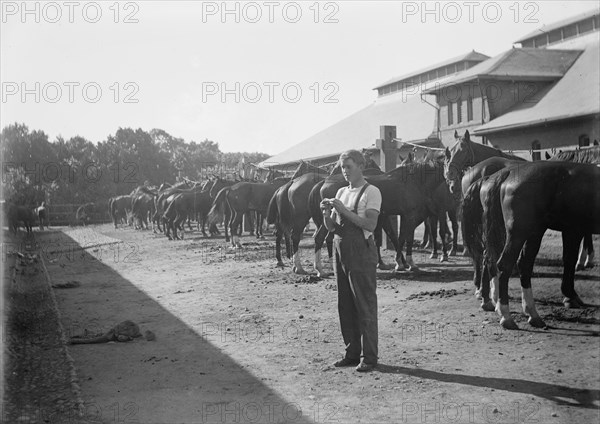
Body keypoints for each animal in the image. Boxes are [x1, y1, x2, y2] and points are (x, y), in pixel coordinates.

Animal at [480, 161, 600, 330]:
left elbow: (569, 259)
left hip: (533, 231)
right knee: (505, 264)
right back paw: (506, 315)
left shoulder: (572, 230)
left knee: (521, 264)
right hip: (518, 233)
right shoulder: (574, 230)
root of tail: (509, 173)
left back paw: (531, 313)